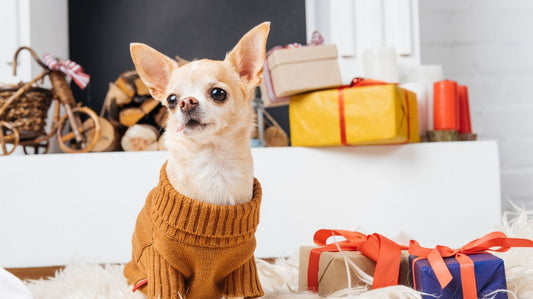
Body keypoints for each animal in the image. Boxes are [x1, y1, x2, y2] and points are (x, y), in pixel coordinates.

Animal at [122, 21, 268, 299]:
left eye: (218, 93)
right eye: (171, 99)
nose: (186, 103)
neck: (212, 163)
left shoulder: (243, 266)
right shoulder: (163, 265)